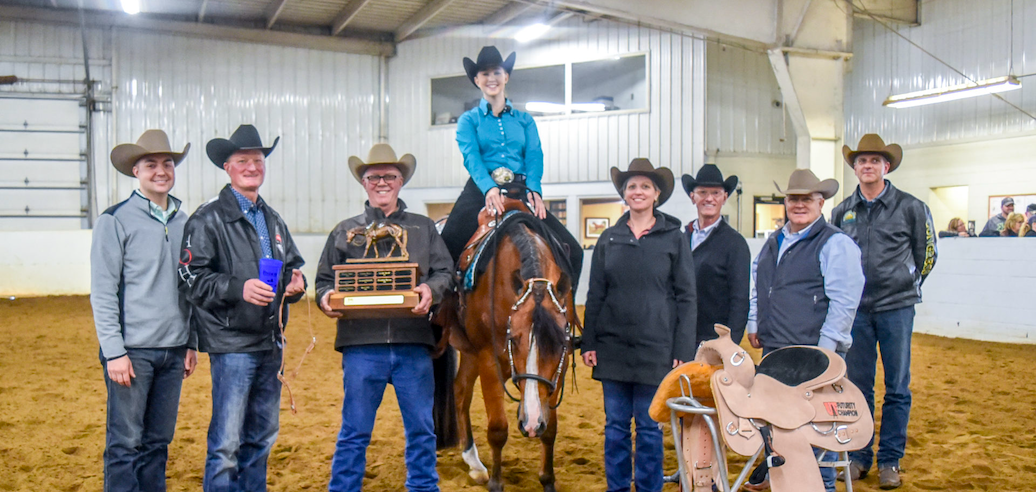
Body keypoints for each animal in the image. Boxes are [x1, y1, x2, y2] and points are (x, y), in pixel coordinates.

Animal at [433, 211, 584, 492]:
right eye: (513, 340)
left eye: (559, 344)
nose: (531, 423)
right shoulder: (489, 360)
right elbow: (498, 429)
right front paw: (495, 483)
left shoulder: (560, 367)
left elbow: (551, 429)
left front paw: (547, 480)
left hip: (469, 352)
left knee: (460, 391)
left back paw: (473, 462)